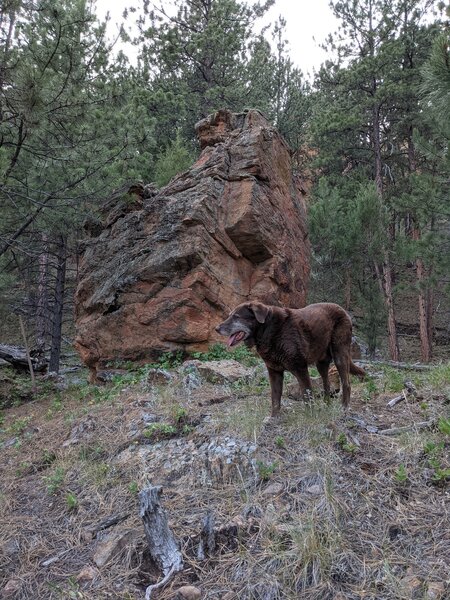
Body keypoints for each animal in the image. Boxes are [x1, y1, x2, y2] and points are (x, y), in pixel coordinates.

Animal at [215, 300, 366, 418]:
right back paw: (326, 405)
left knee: (346, 383)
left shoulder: (300, 368)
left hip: (340, 355)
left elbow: (307, 395)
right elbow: (275, 398)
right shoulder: (274, 371)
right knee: (327, 384)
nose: (216, 328)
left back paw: (344, 407)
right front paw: (273, 418)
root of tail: (342, 309)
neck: (268, 330)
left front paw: (311, 417)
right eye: (230, 316)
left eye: (236, 316)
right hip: (321, 363)